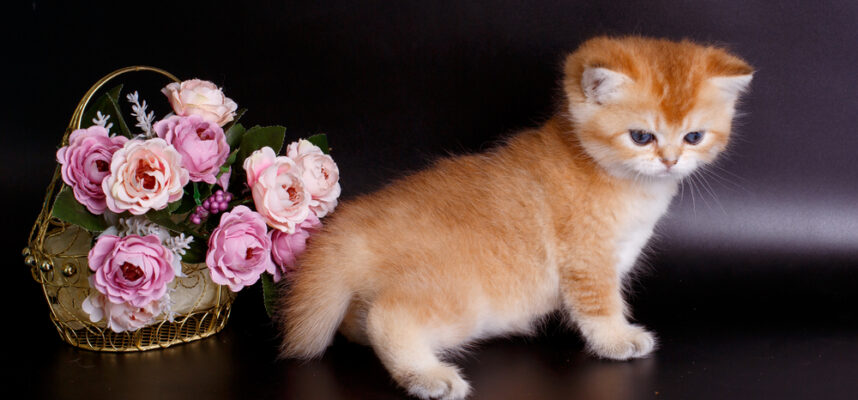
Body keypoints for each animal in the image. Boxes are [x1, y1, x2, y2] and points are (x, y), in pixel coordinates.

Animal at [274, 36, 748, 398]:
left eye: (693, 136)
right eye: (641, 136)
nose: (670, 161)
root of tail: (349, 226)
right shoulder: (587, 259)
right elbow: (600, 305)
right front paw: (617, 340)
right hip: (459, 297)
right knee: (387, 318)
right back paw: (428, 376)